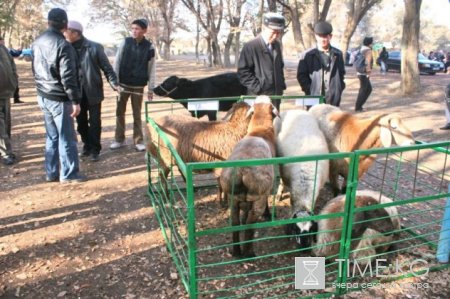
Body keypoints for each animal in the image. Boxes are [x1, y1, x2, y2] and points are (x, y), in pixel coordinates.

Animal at [218, 95, 278, 258]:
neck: (260, 129)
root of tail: (241, 170)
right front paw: (268, 214)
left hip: (233, 198)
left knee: (235, 223)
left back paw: (236, 251)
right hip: (258, 197)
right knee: (250, 225)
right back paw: (248, 252)